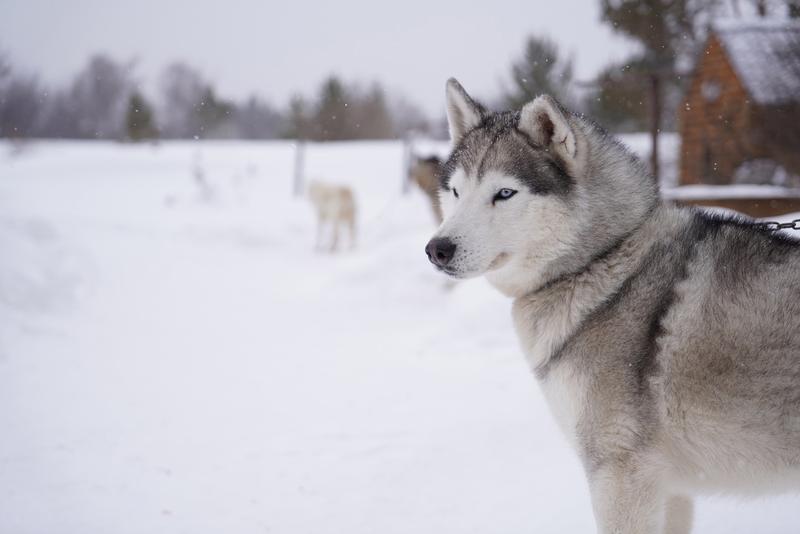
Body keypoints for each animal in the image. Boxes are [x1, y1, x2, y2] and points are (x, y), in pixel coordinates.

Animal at [424, 79, 800, 534]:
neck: (605, 259)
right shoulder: (670, 488)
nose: (437, 249)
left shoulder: (621, 475)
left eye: (504, 193)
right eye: (456, 191)